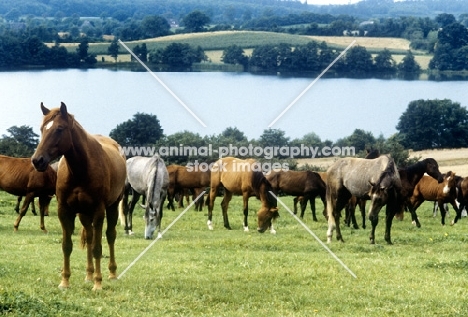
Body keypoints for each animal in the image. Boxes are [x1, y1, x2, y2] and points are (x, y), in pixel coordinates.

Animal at [30, 102, 126, 290]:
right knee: (89, 237)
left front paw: (98, 283)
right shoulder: (64, 210)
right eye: (42, 129)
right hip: (83, 213)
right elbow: (67, 245)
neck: (81, 170)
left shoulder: (99, 211)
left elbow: (98, 248)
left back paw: (111, 273)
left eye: (60, 129)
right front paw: (65, 281)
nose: (37, 160)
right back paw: (88, 275)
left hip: (111, 207)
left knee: (110, 236)